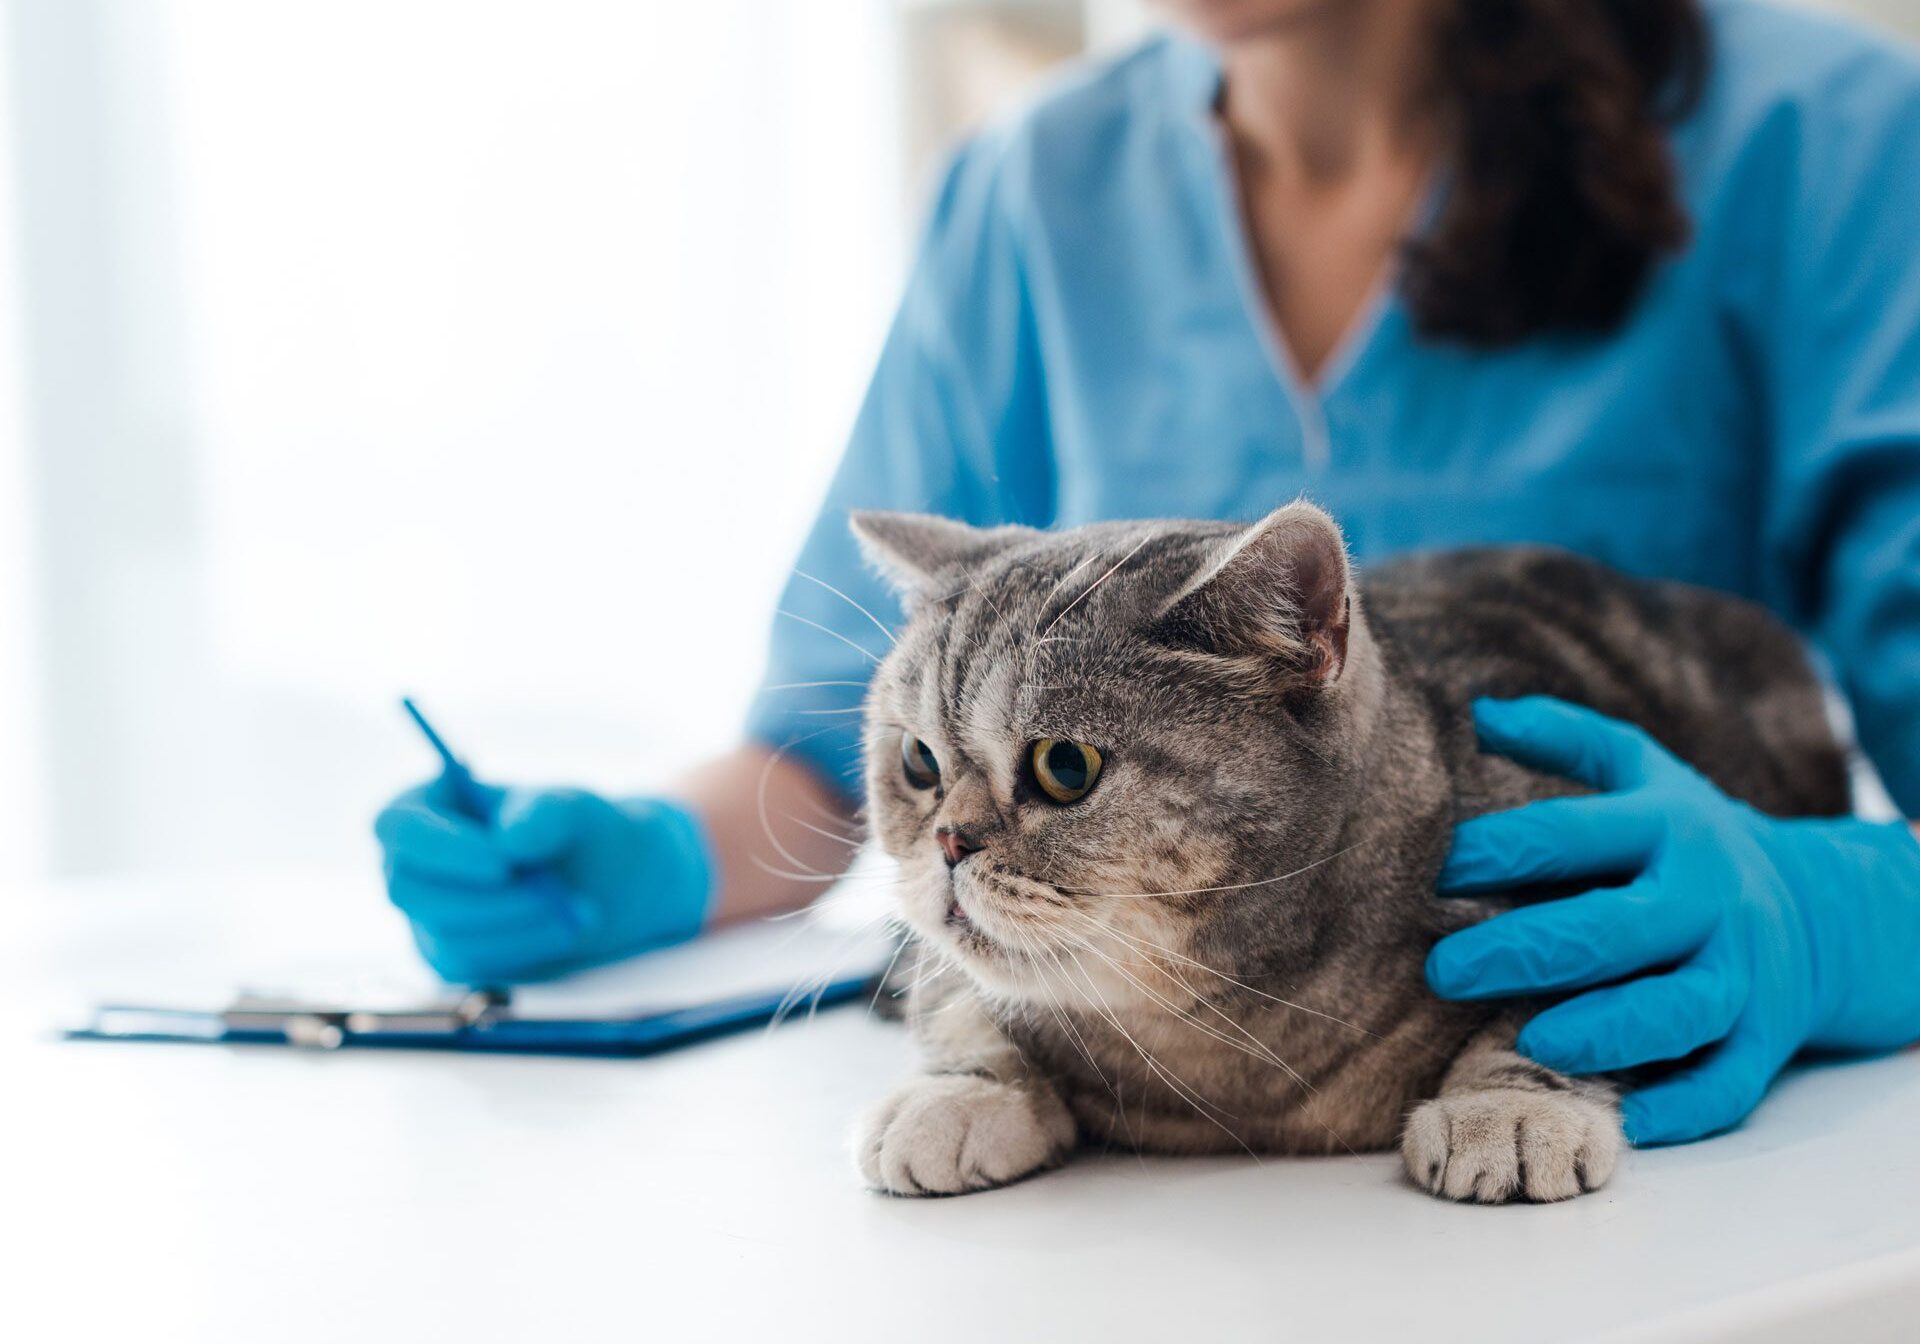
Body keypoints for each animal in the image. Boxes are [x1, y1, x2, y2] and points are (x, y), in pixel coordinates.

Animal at [844, 499, 1843, 1205]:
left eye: (1064, 767)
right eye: (919, 763)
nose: (946, 842)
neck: (1217, 1045)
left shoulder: (1620, 892)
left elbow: (1557, 1013)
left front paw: (1509, 1108)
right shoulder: (946, 965)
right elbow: (962, 1002)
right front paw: (962, 1094)